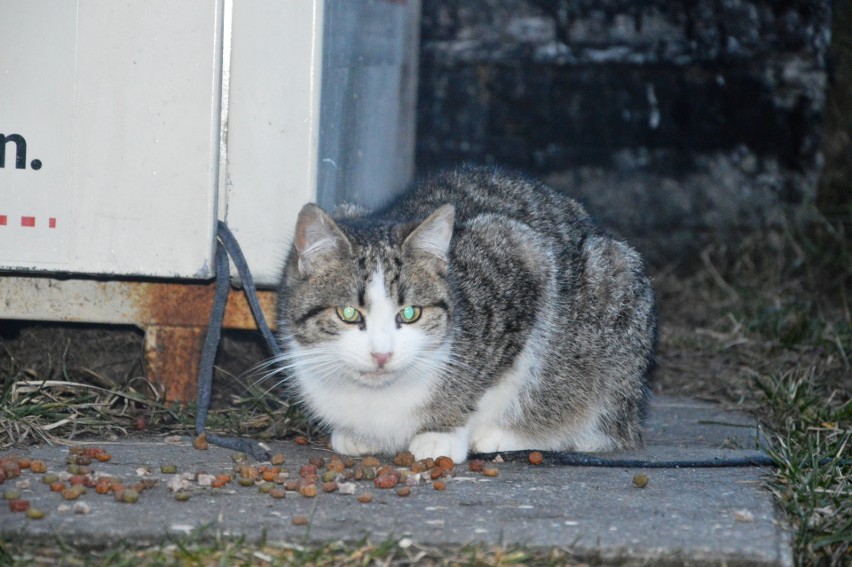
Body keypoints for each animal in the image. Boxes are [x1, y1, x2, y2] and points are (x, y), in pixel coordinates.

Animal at [276, 165, 656, 466]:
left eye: (410, 313)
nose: (381, 355)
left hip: (613, 293)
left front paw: (445, 433)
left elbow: (488, 384)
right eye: (348, 312)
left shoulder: (521, 258)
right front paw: (356, 434)